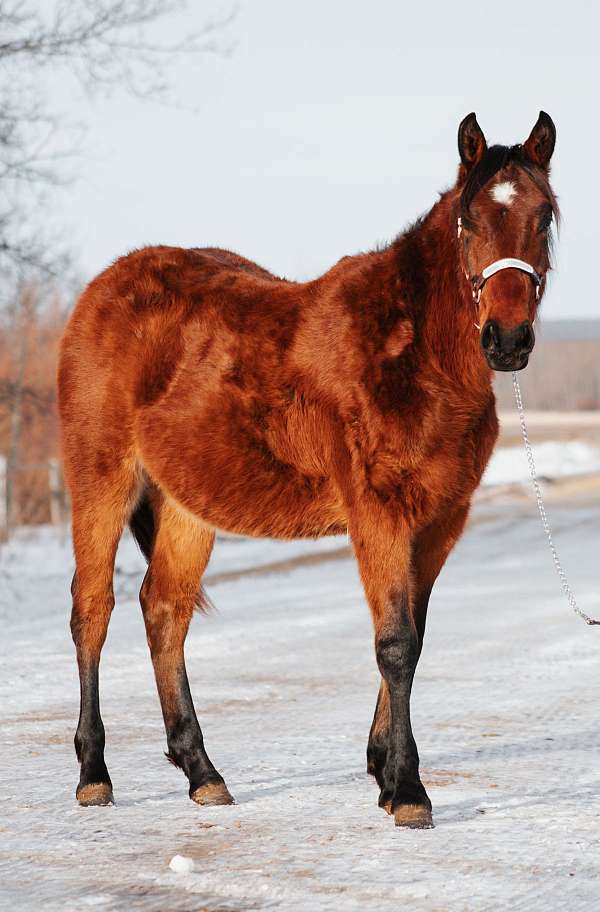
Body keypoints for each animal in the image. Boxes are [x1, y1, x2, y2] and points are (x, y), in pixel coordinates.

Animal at [57, 110, 556, 824]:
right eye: (470, 220)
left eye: (544, 217)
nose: (508, 341)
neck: (415, 354)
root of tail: (100, 291)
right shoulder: (378, 513)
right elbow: (395, 644)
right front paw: (407, 790)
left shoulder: (440, 521)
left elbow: (414, 636)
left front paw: (384, 773)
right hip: (102, 480)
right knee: (93, 611)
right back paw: (93, 774)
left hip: (186, 506)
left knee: (164, 610)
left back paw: (202, 772)